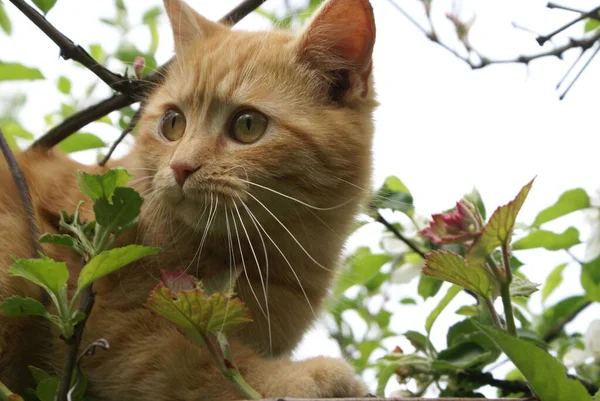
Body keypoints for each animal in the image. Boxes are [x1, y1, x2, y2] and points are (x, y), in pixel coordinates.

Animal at [0, 0, 376, 396]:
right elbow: (204, 365)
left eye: (248, 125)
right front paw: (295, 378)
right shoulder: (108, 320)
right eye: (173, 123)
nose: (181, 167)